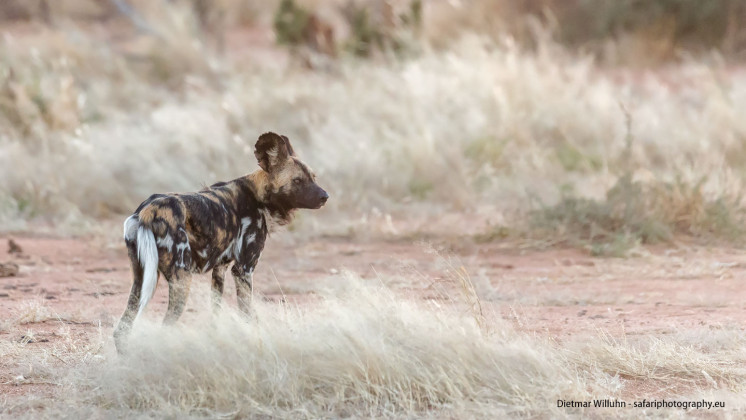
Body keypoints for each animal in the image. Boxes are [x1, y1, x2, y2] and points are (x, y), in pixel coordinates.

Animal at [112, 133, 326, 352]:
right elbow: (248, 315)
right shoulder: (243, 269)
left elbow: (215, 311)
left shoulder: (220, 269)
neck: (259, 196)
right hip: (181, 278)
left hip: (140, 279)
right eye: (297, 180)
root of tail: (148, 210)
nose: (324, 196)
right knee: (164, 329)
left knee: (122, 330)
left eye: (314, 178)